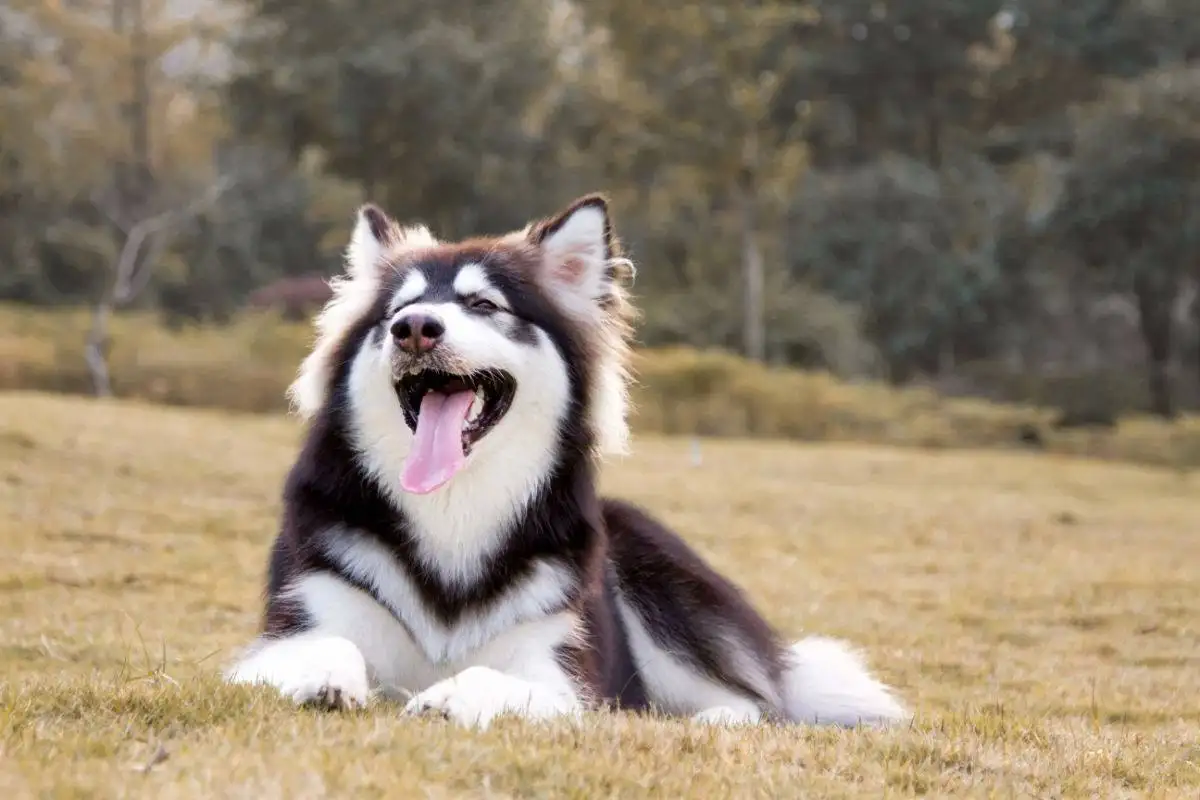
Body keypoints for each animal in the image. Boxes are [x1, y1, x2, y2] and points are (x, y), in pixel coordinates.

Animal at [225, 194, 902, 734]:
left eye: (483, 304)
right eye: (398, 309)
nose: (414, 328)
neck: (454, 508)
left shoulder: (563, 675)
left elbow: (501, 680)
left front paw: (449, 697)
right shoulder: (297, 622)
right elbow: (326, 645)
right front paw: (325, 679)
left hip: (661, 583)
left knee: (751, 700)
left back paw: (716, 719)